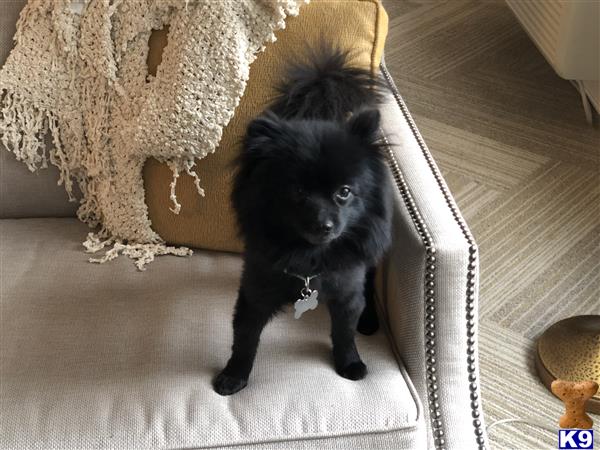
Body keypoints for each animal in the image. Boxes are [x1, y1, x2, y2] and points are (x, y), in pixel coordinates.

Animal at [213, 47, 392, 396]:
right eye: (297, 191)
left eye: (344, 192)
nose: (324, 225)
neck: (310, 259)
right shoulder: (256, 289)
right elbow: (245, 337)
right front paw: (234, 375)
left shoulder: (346, 291)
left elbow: (344, 332)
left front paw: (350, 363)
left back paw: (369, 321)